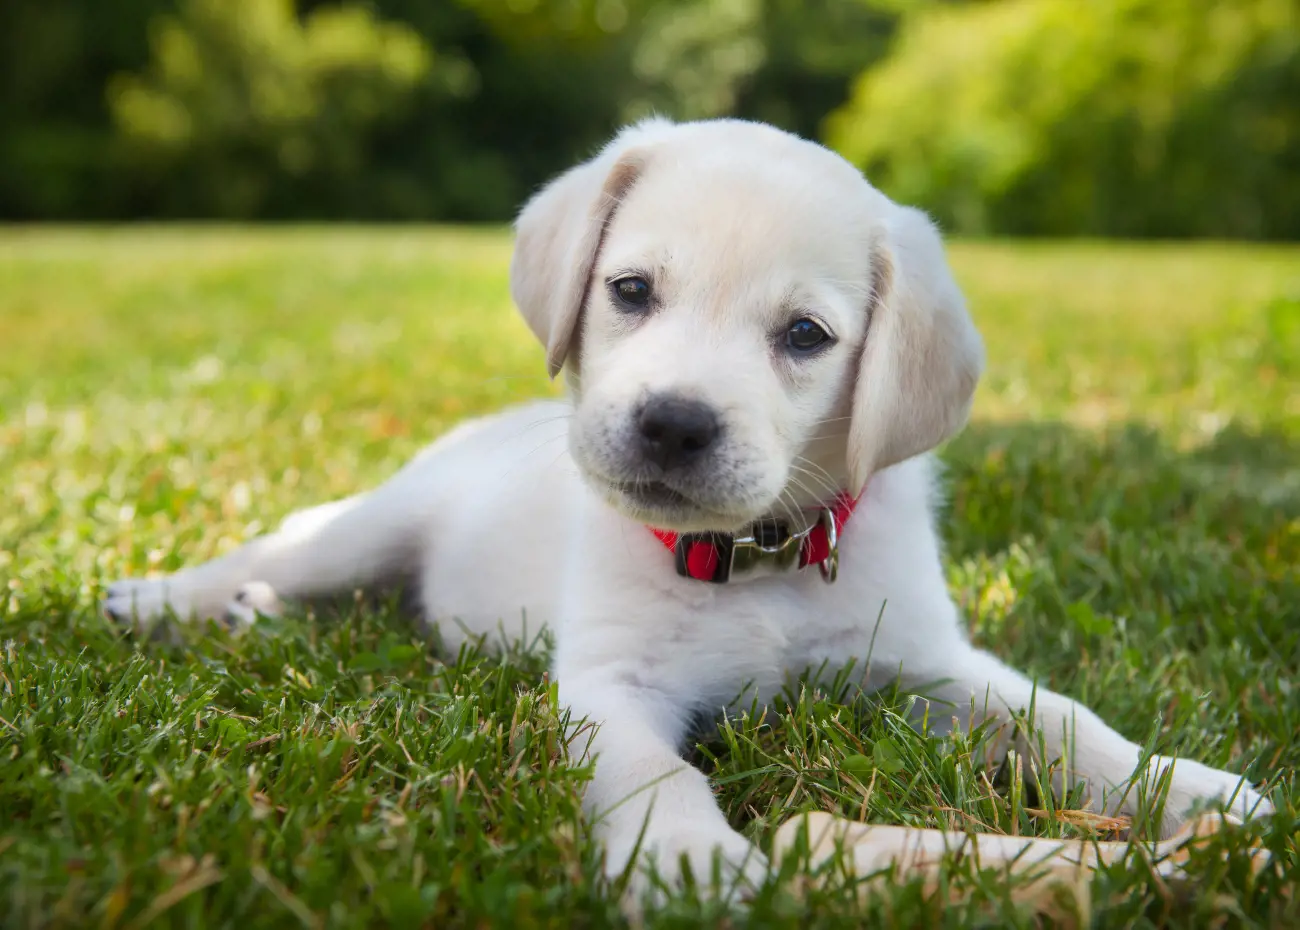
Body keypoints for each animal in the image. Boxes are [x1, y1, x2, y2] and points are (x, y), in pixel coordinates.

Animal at [106, 116, 1274, 894]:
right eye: (630, 291)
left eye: (805, 335)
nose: (672, 423)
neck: (749, 559)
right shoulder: (610, 684)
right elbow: (652, 771)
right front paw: (688, 859)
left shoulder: (926, 660)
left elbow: (1060, 716)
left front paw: (1193, 790)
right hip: (370, 527)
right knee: (280, 552)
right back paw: (165, 598)